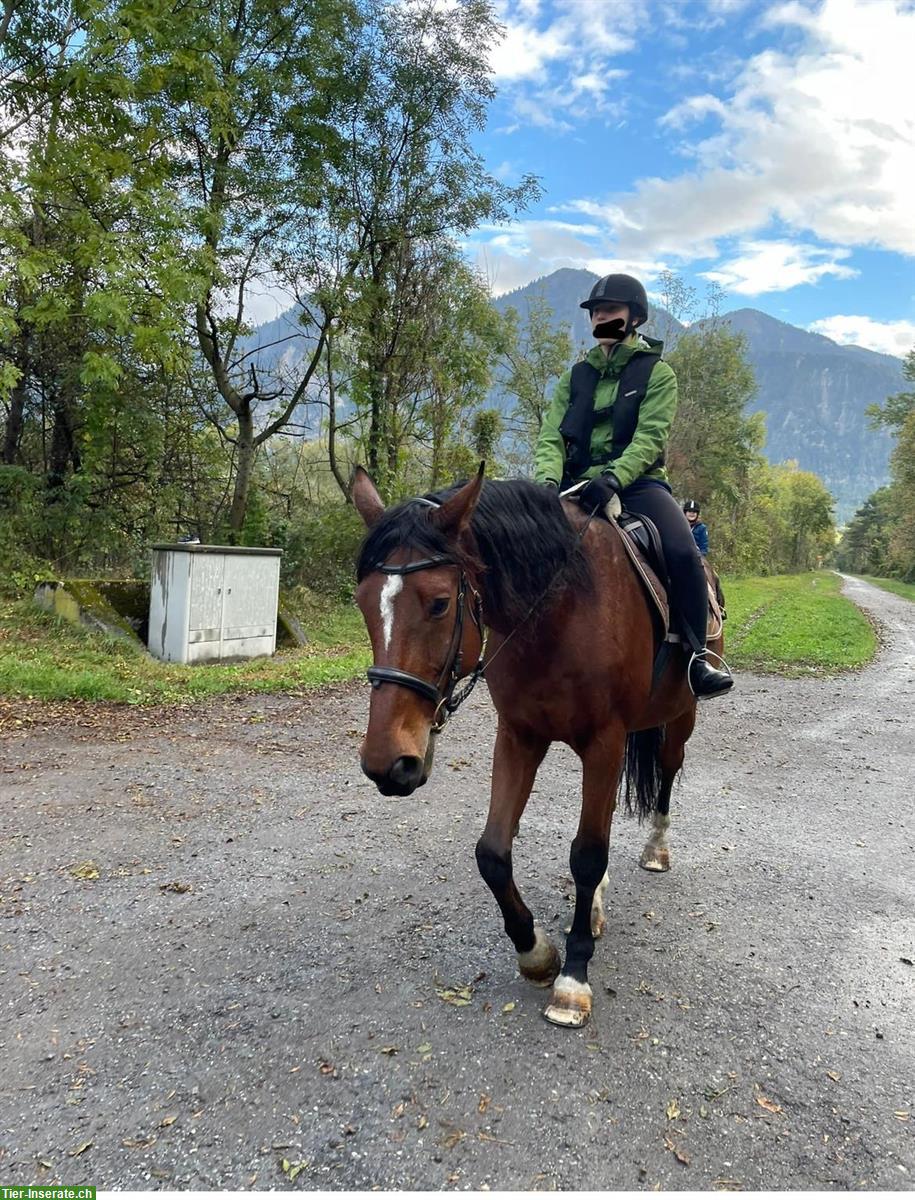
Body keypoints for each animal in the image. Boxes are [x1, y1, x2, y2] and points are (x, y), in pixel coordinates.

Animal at [353, 463, 715, 1027]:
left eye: (439, 603)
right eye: (364, 604)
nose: (386, 764)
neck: (560, 607)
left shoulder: (604, 742)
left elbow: (587, 854)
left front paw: (573, 977)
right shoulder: (520, 736)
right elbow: (492, 853)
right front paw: (537, 952)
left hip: (680, 717)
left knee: (667, 775)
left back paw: (656, 849)